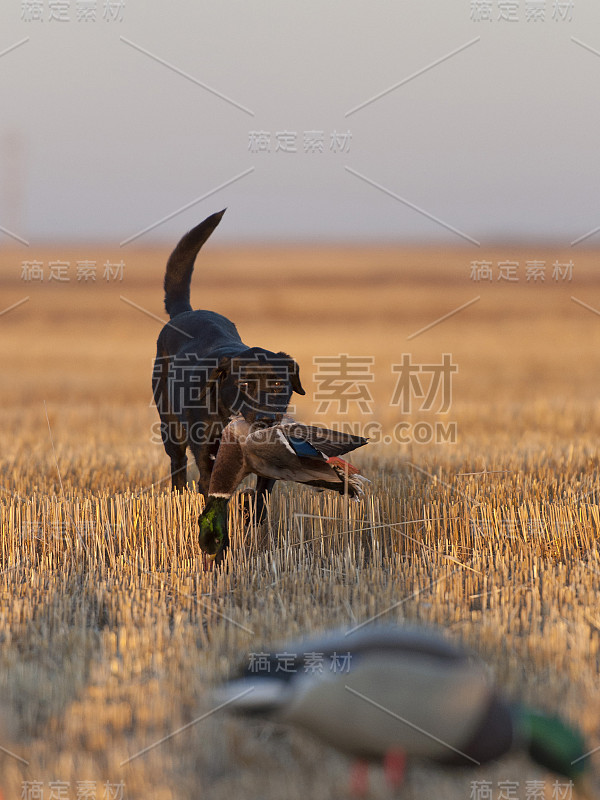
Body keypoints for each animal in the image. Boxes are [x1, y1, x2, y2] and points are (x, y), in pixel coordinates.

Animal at [152, 209, 308, 516]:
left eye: (277, 384)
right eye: (244, 384)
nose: (265, 419)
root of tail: (186, 312)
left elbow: (260, 499)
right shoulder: (206, 460)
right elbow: (211, 492)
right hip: (170, 427)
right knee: (177, 466)